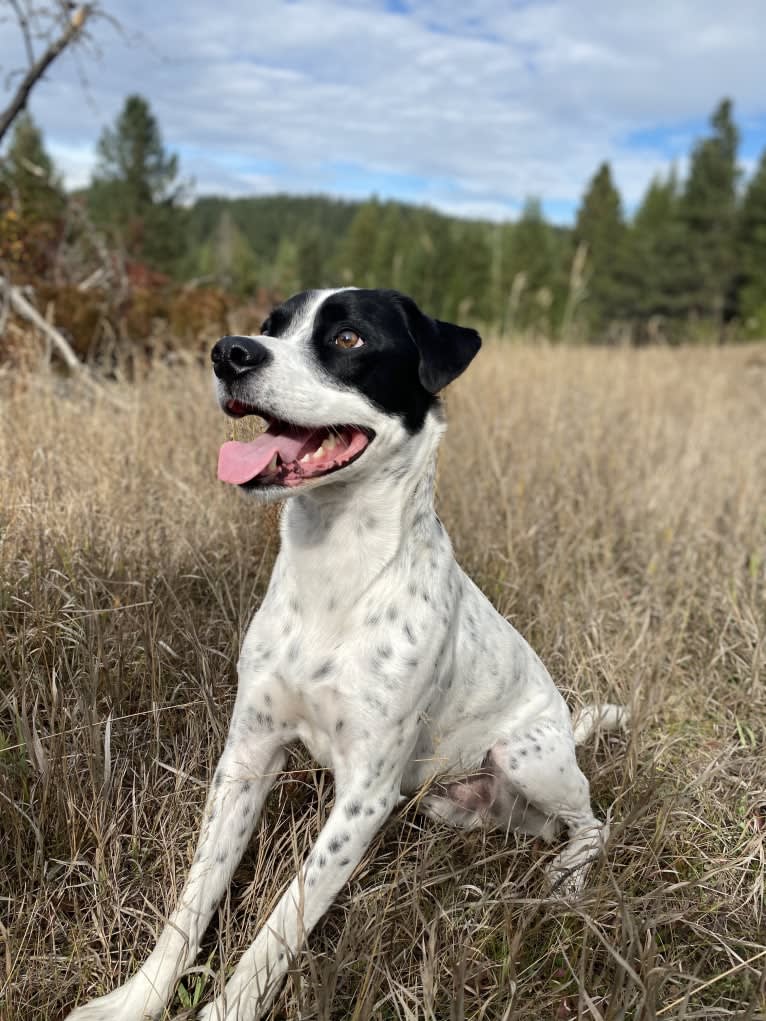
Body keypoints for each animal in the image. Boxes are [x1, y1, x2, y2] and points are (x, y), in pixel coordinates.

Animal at [67, 287, 629, 1021]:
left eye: (349, 340)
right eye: (272, 327)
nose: (229, 352)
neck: (333, 571)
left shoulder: (363, 796)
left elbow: (281, 923)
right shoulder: (247, 755)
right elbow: (193, 897)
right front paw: (135, 998)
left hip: (524, 754)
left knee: (593, 823)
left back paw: (565, 880)